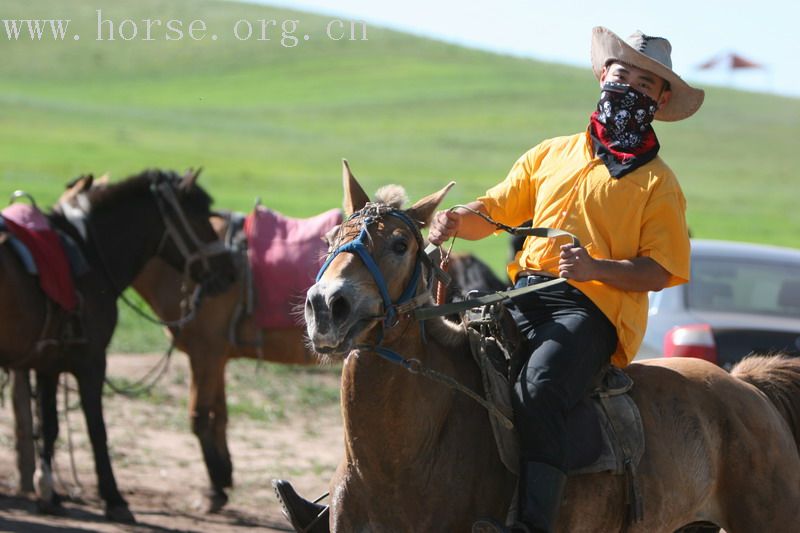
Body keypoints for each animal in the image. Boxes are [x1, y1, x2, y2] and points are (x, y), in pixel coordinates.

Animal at [1, 169, 236, 520]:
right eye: (199, 217)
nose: (230, 272)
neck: (89, 257)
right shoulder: (91, 362)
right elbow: (97, 430)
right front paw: (114, 499)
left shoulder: (48, 363)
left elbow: (50, 426)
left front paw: (49, 495)